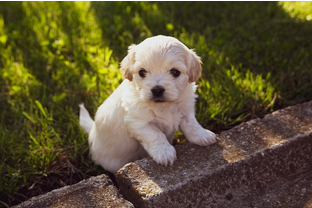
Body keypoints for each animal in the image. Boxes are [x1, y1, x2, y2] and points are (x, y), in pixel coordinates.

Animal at [79, 35, 216, 173]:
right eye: (142, 72)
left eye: (175, 72)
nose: (157, 90)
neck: (164, 107)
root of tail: (92, 131)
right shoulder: (138, 122)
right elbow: (155, 134)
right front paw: (164, 152)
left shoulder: (186, 110)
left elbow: (191, 124)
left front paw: (203, 135)